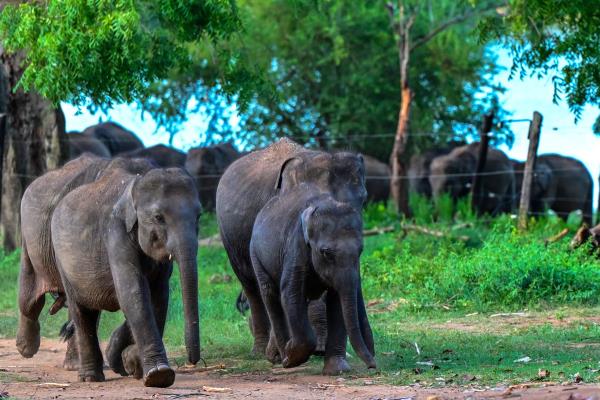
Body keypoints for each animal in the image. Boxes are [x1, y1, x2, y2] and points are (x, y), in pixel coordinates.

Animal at [48, 161, 199, 386]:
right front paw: (159, 375)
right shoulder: (115, 232)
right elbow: (133, 292)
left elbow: (158, 296)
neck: (135, 184)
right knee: (81, 311)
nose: (192, 361)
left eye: (199, 216)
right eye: (158, 218)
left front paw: (130, 362)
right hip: (61, 261)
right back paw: (90, 378)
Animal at [250, 184, 376, 376]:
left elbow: (337, 301)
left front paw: (337, 370)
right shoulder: (296, 246)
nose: (373, 366)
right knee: (271, 295)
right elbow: (291, 294)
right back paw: (283, 357)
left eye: (361, 250)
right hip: (255, 255)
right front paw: (292, 358)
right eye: (326, 253)